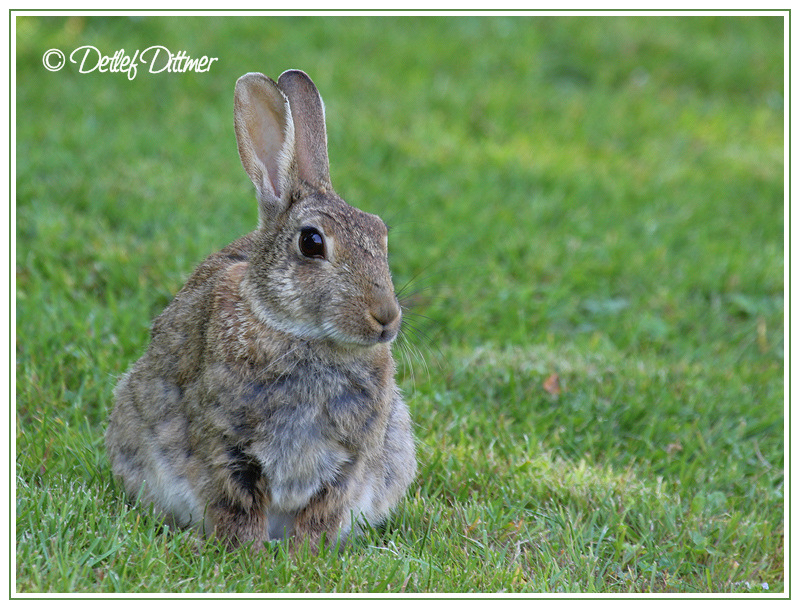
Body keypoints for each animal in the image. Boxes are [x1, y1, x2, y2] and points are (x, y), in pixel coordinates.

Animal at [104, 67, 418, 552]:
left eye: (380, 232)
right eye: (312, 242)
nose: (385, 317)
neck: (304, 337)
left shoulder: (352, 457)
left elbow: (323, 508)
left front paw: (305, 555)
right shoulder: (226, 442)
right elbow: (238, 500)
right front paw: (247, 552)